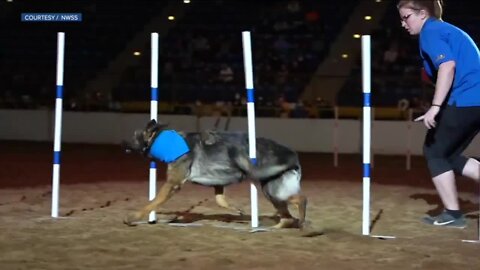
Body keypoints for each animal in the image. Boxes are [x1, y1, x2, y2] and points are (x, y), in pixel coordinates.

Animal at [122, 119, 306, 228]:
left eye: (133, 136)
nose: (122, 143)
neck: (163, 140)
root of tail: (292, 153)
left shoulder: (173, 184)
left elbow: (152, 203)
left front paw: (133, 217)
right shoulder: (218, 183)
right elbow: (220, 200)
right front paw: (237, 211)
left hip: (275, 192)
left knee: (301, 200)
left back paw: (301, 223)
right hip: (271, 192)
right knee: (288, 217)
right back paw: (276, 227)